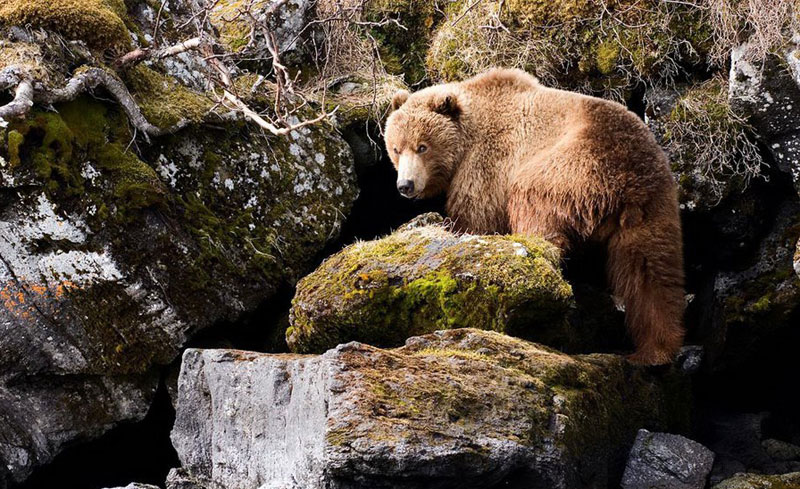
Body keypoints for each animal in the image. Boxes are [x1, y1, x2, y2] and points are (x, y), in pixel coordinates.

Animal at [384, 69, 684, 366]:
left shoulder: (487, 164)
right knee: (650, 275)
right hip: (654, 206)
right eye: (396, 148)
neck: (467, 138)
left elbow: (476, 217)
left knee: (537, 216)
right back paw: (655, 351)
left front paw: (456, 230)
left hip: (563, 173)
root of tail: (623, 183)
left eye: (422, 146)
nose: (405, 185)